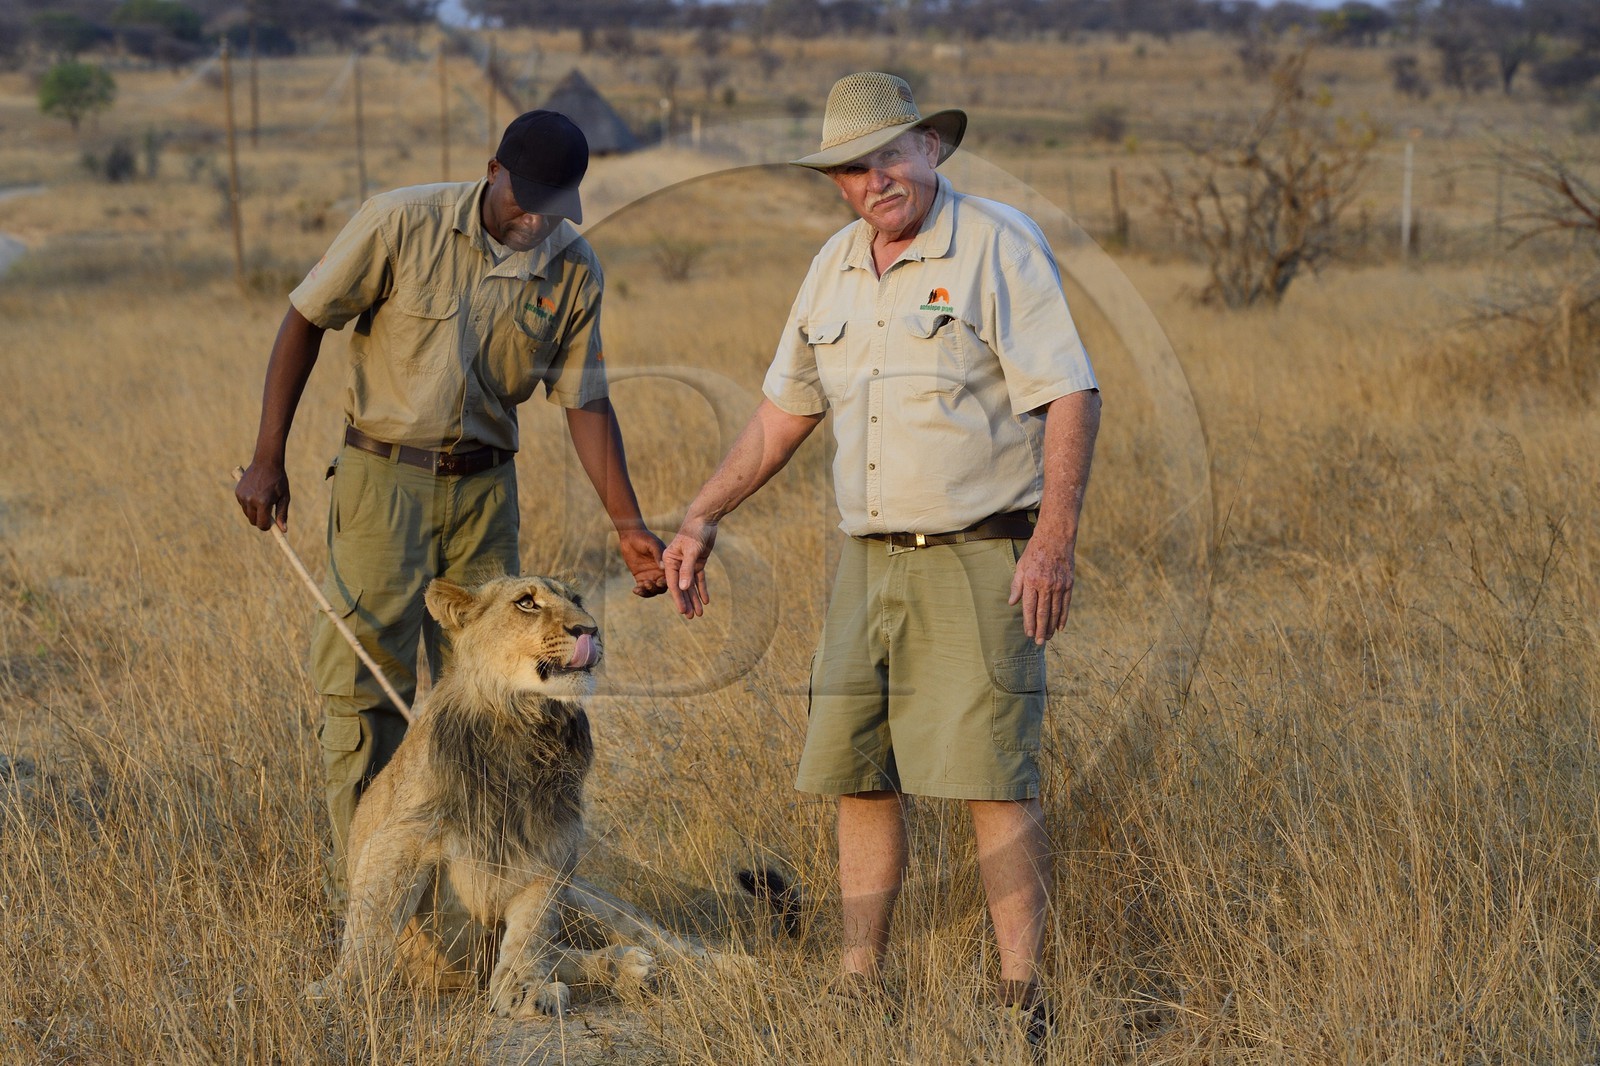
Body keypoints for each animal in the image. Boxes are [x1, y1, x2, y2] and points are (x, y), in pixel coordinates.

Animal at [309, 573, 772, 1017]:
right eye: (527, 603)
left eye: (578, 600)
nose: (590, 629)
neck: (524, 726)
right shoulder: (401, 838)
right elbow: (372, 924)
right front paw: (341, 990)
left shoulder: (549, 848)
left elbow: (531, 933)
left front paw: (523, 991)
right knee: (567, 954)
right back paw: (629, 967)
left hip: (588, 900)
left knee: (657, 940)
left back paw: (731, 965)